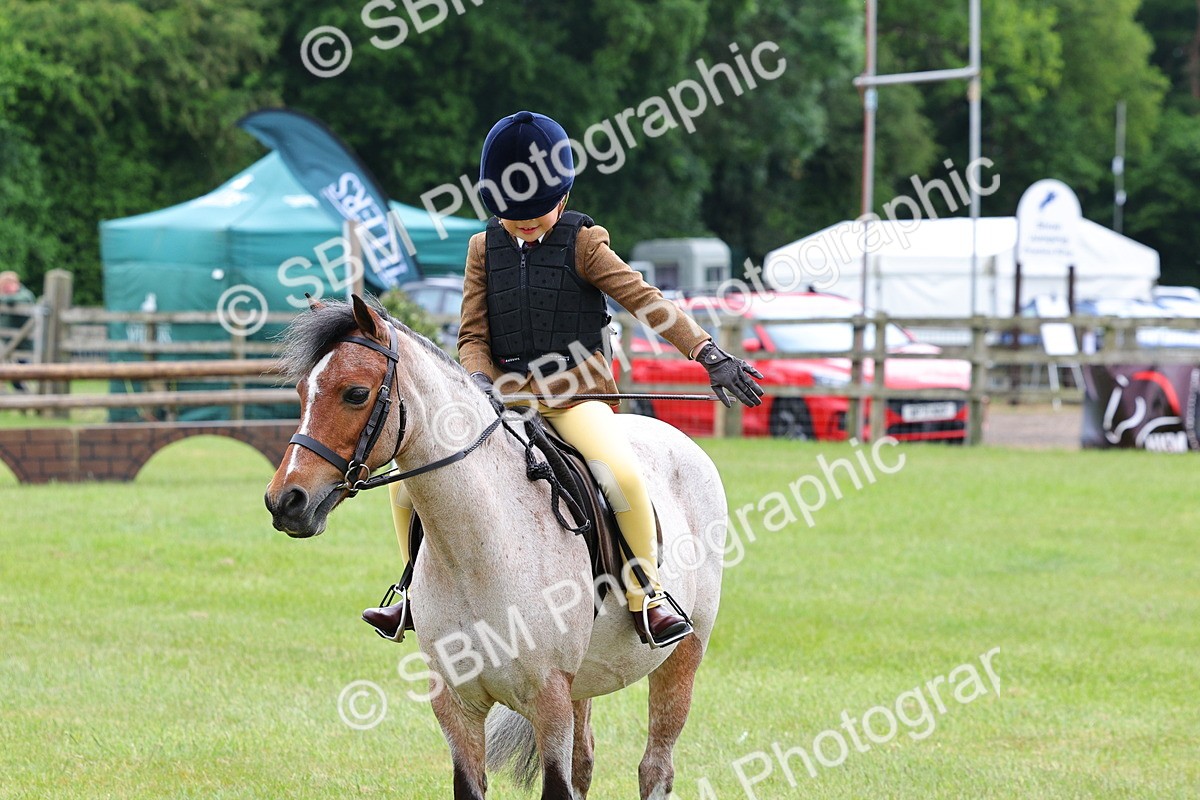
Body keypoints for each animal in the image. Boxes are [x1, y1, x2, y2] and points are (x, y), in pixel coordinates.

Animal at [264, 295, 728, 800]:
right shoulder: (456, 703)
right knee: (586, 763)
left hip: (683, 655)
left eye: (354, 393)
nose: (285, 501)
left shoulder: (550, 699)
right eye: (303, 391)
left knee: (655, 767)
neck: (475, 553)